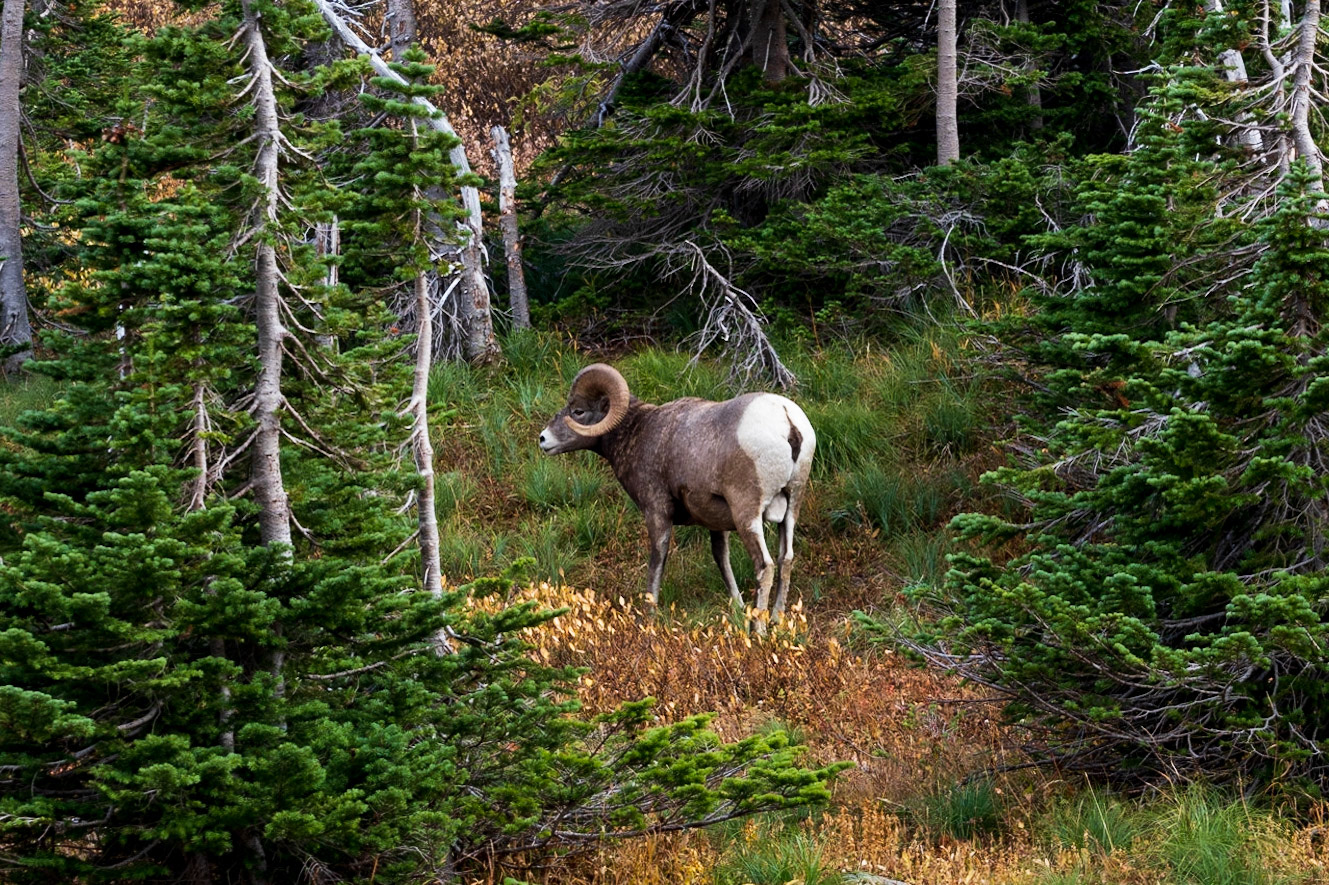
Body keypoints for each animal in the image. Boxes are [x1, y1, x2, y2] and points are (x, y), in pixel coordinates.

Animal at [538, 363, 816, 625]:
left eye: (578, 411)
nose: (543, 439)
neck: (639, 432)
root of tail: (787, 422)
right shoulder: (716, 523)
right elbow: (722, 559)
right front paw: (737, 607)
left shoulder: (657, 512)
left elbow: (657, 561)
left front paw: (649, 617)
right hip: (792, 506)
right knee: (785, 559)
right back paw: (777, 620)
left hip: (747, 514)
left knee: (764, 566)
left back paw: (758, 629)